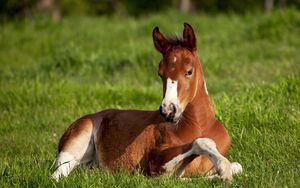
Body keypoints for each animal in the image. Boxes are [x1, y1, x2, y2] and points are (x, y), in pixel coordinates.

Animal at [52, 22, 243, 182]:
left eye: (189, 71)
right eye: (160, 74)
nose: (168, 111)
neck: (199, 125)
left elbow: (237, 166)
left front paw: (222, 174)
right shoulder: (154, 163)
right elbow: (200, 144)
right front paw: (223, 170)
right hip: (74, 145)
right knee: (57, 174)